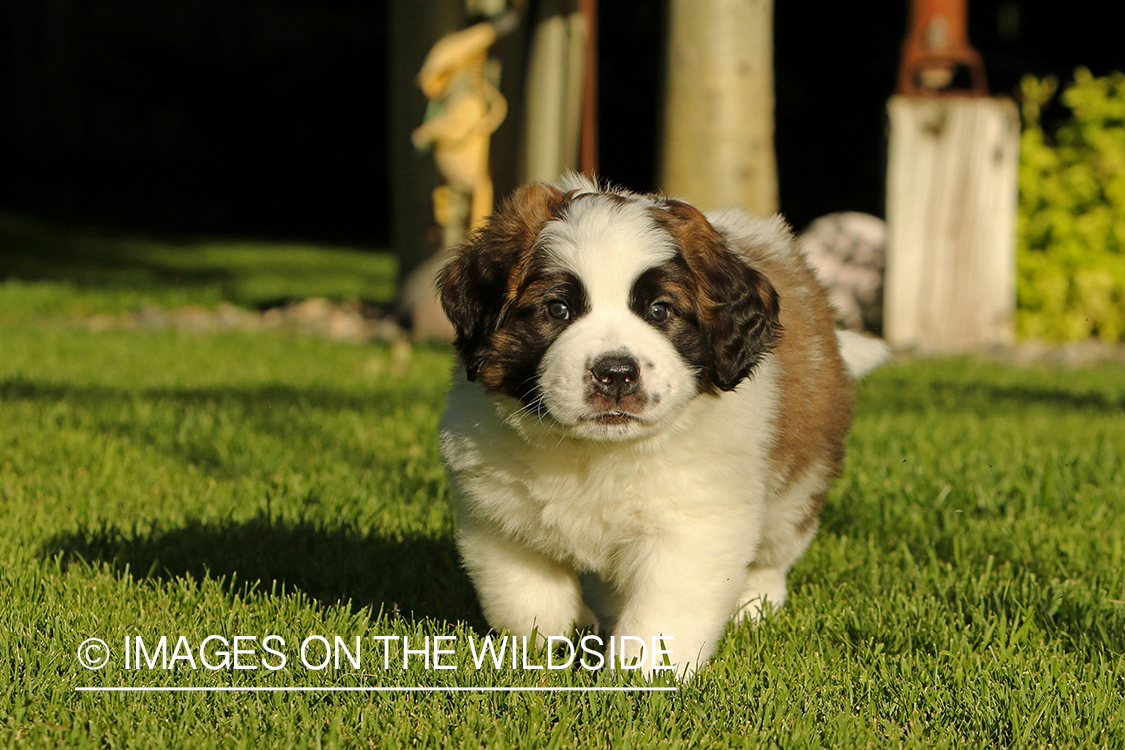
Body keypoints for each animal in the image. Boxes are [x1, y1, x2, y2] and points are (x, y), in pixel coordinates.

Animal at [436, 177, 886, 679]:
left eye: (659, 310)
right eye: (557, 309)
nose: (615, 373)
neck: (597, 454)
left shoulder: (695, 522)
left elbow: (665, 609)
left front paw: (640, 675)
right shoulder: (499, 517)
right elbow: (526, 599)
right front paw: (558, 643)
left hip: (797, 487)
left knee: (773, 552)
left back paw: (754, 604)